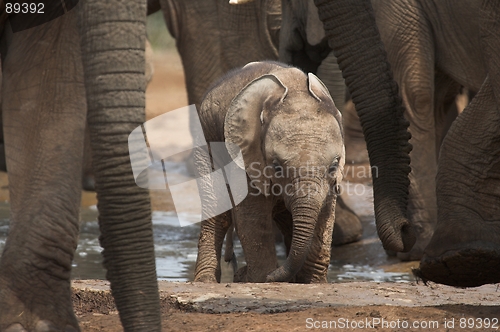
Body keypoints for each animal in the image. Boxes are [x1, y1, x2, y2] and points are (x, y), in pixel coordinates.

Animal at [194, 60, 344, 282]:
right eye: (276, 166)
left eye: (334, 165)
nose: (240, 273)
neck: (296, 91)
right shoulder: (246, 155)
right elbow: (252, 216)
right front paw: (261, 278)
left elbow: (325, 216)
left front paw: (312, 283)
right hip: (206, 142)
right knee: (217, 211)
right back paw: (206, 282)